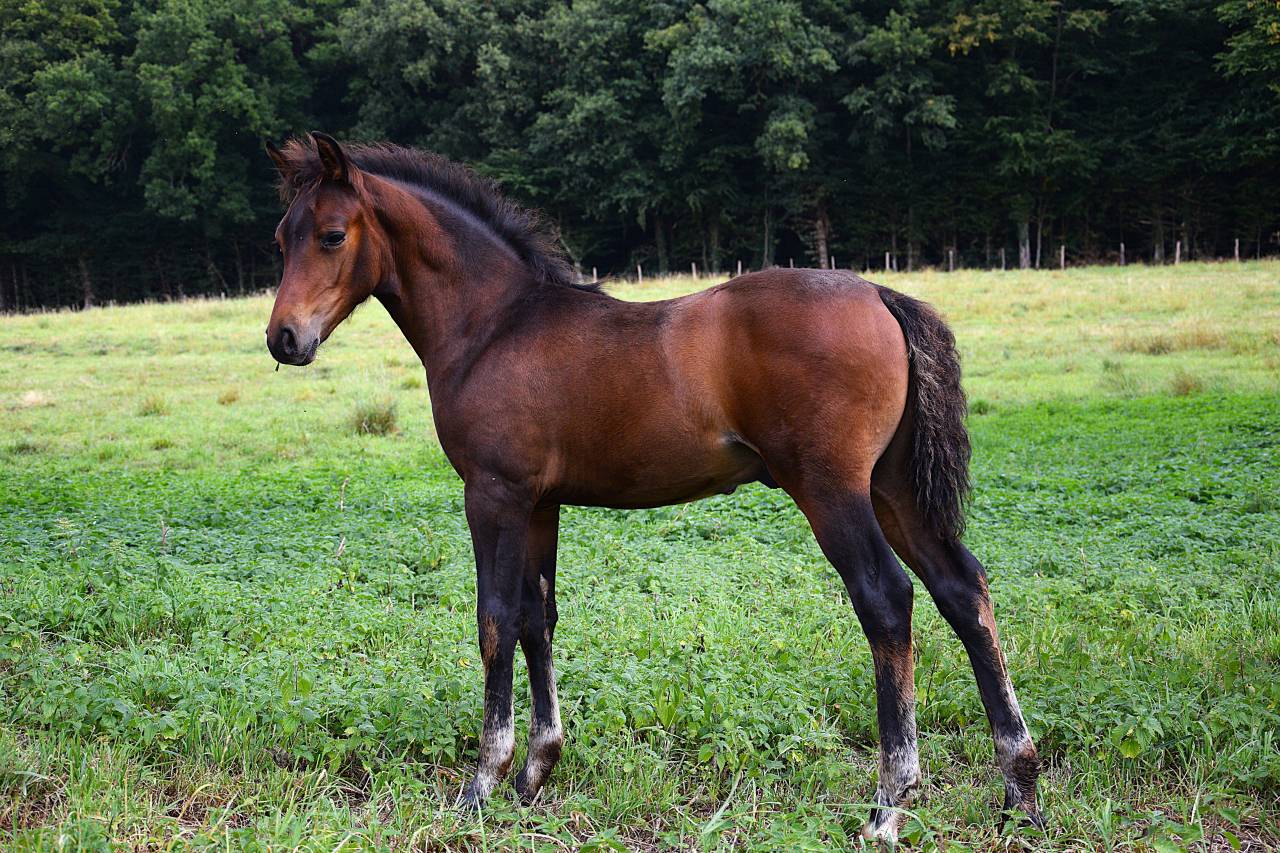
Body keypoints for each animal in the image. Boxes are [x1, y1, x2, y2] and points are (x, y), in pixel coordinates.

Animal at [263, 132, 1042, 841]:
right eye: (280, 237)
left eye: (331, 235)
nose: (284, 339)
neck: (494, 325)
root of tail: (879, 294)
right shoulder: (541, 503)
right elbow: (537, 618)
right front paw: (536, 771)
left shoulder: (493, 495)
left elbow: (494, 620)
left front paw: (483, 781)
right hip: (893, 488)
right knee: (962, 589)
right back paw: (1020, 787)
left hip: (833, 489)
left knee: (887, 599)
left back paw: (889, 806)